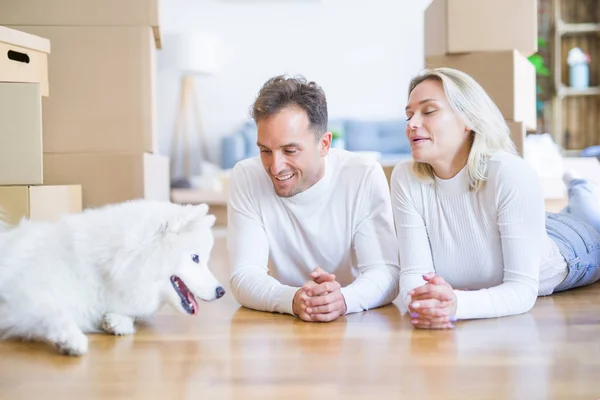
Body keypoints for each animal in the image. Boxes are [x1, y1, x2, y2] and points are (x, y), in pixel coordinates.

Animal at [0, 200, 225, 356]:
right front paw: (72, 339)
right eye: (196, 258)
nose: (221, 291)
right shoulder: (21, 290)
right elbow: (53, 309)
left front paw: (116, 321)